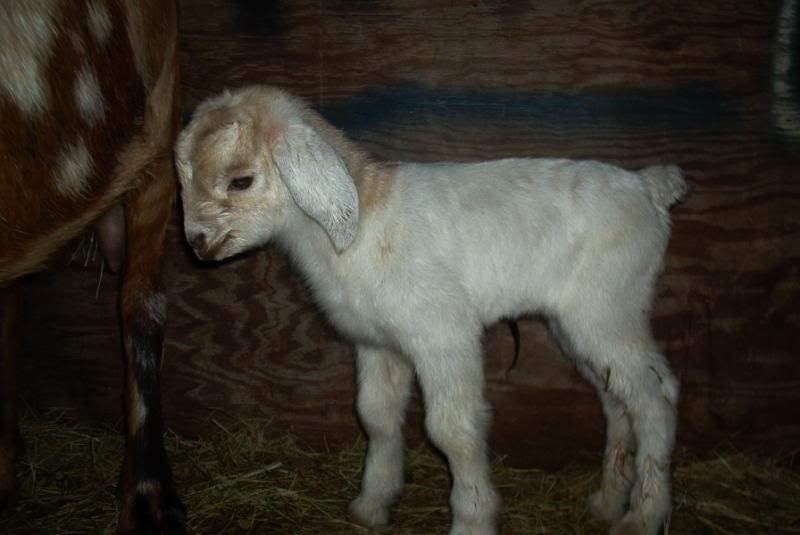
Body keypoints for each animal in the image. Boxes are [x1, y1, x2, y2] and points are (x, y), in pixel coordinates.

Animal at [176, 85, 687, 535]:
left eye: (241, 180)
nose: (197, 244)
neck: (361, 226)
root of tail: (648, 187)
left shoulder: (443, 332)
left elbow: (453, 429)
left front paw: (473, 519)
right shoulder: (377, 343)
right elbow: (375, 418)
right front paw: (371, 505)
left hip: (610, 305)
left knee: (655, 395)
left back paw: (643, 517)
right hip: (578, 321)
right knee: (617, 398)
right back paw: (607, 504)